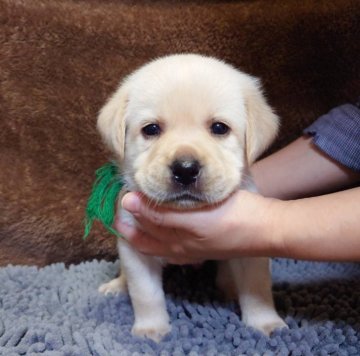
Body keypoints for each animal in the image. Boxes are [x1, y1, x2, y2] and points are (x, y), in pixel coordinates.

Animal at [96, 54, 286, 340]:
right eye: (151, 129)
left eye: (219, 128)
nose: (185, 169)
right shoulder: (134, 247)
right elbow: (145, 294)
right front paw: (151, 329)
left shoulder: (251, 251)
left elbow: (257, 287)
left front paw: (265, 323)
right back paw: (116, 286)